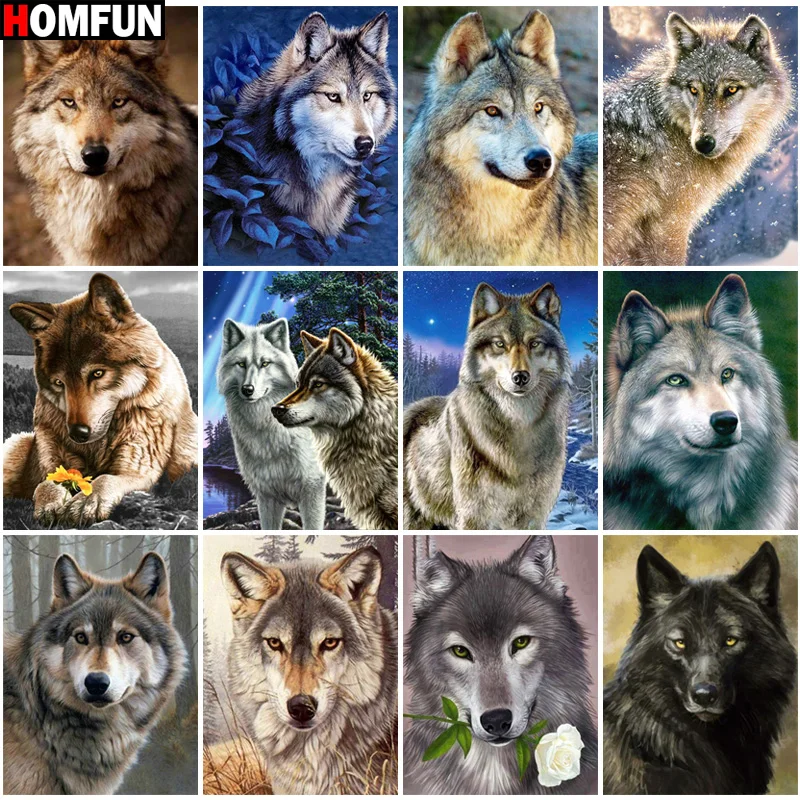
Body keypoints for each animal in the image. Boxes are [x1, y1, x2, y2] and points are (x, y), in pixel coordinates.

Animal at [3, 273, 197, 527]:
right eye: (59, 383)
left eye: (97, 373)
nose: (77, 433)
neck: (96, 447)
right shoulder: (53, 461)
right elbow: (48, 482)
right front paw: (50, 504)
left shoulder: (138, 470)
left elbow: (104, 478)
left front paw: (87, 501)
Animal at [404, 283, 571, 530]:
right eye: (500, 344)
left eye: (534, 344)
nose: (520, 377)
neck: (519, 425)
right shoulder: (473, 517)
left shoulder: (534, 517)